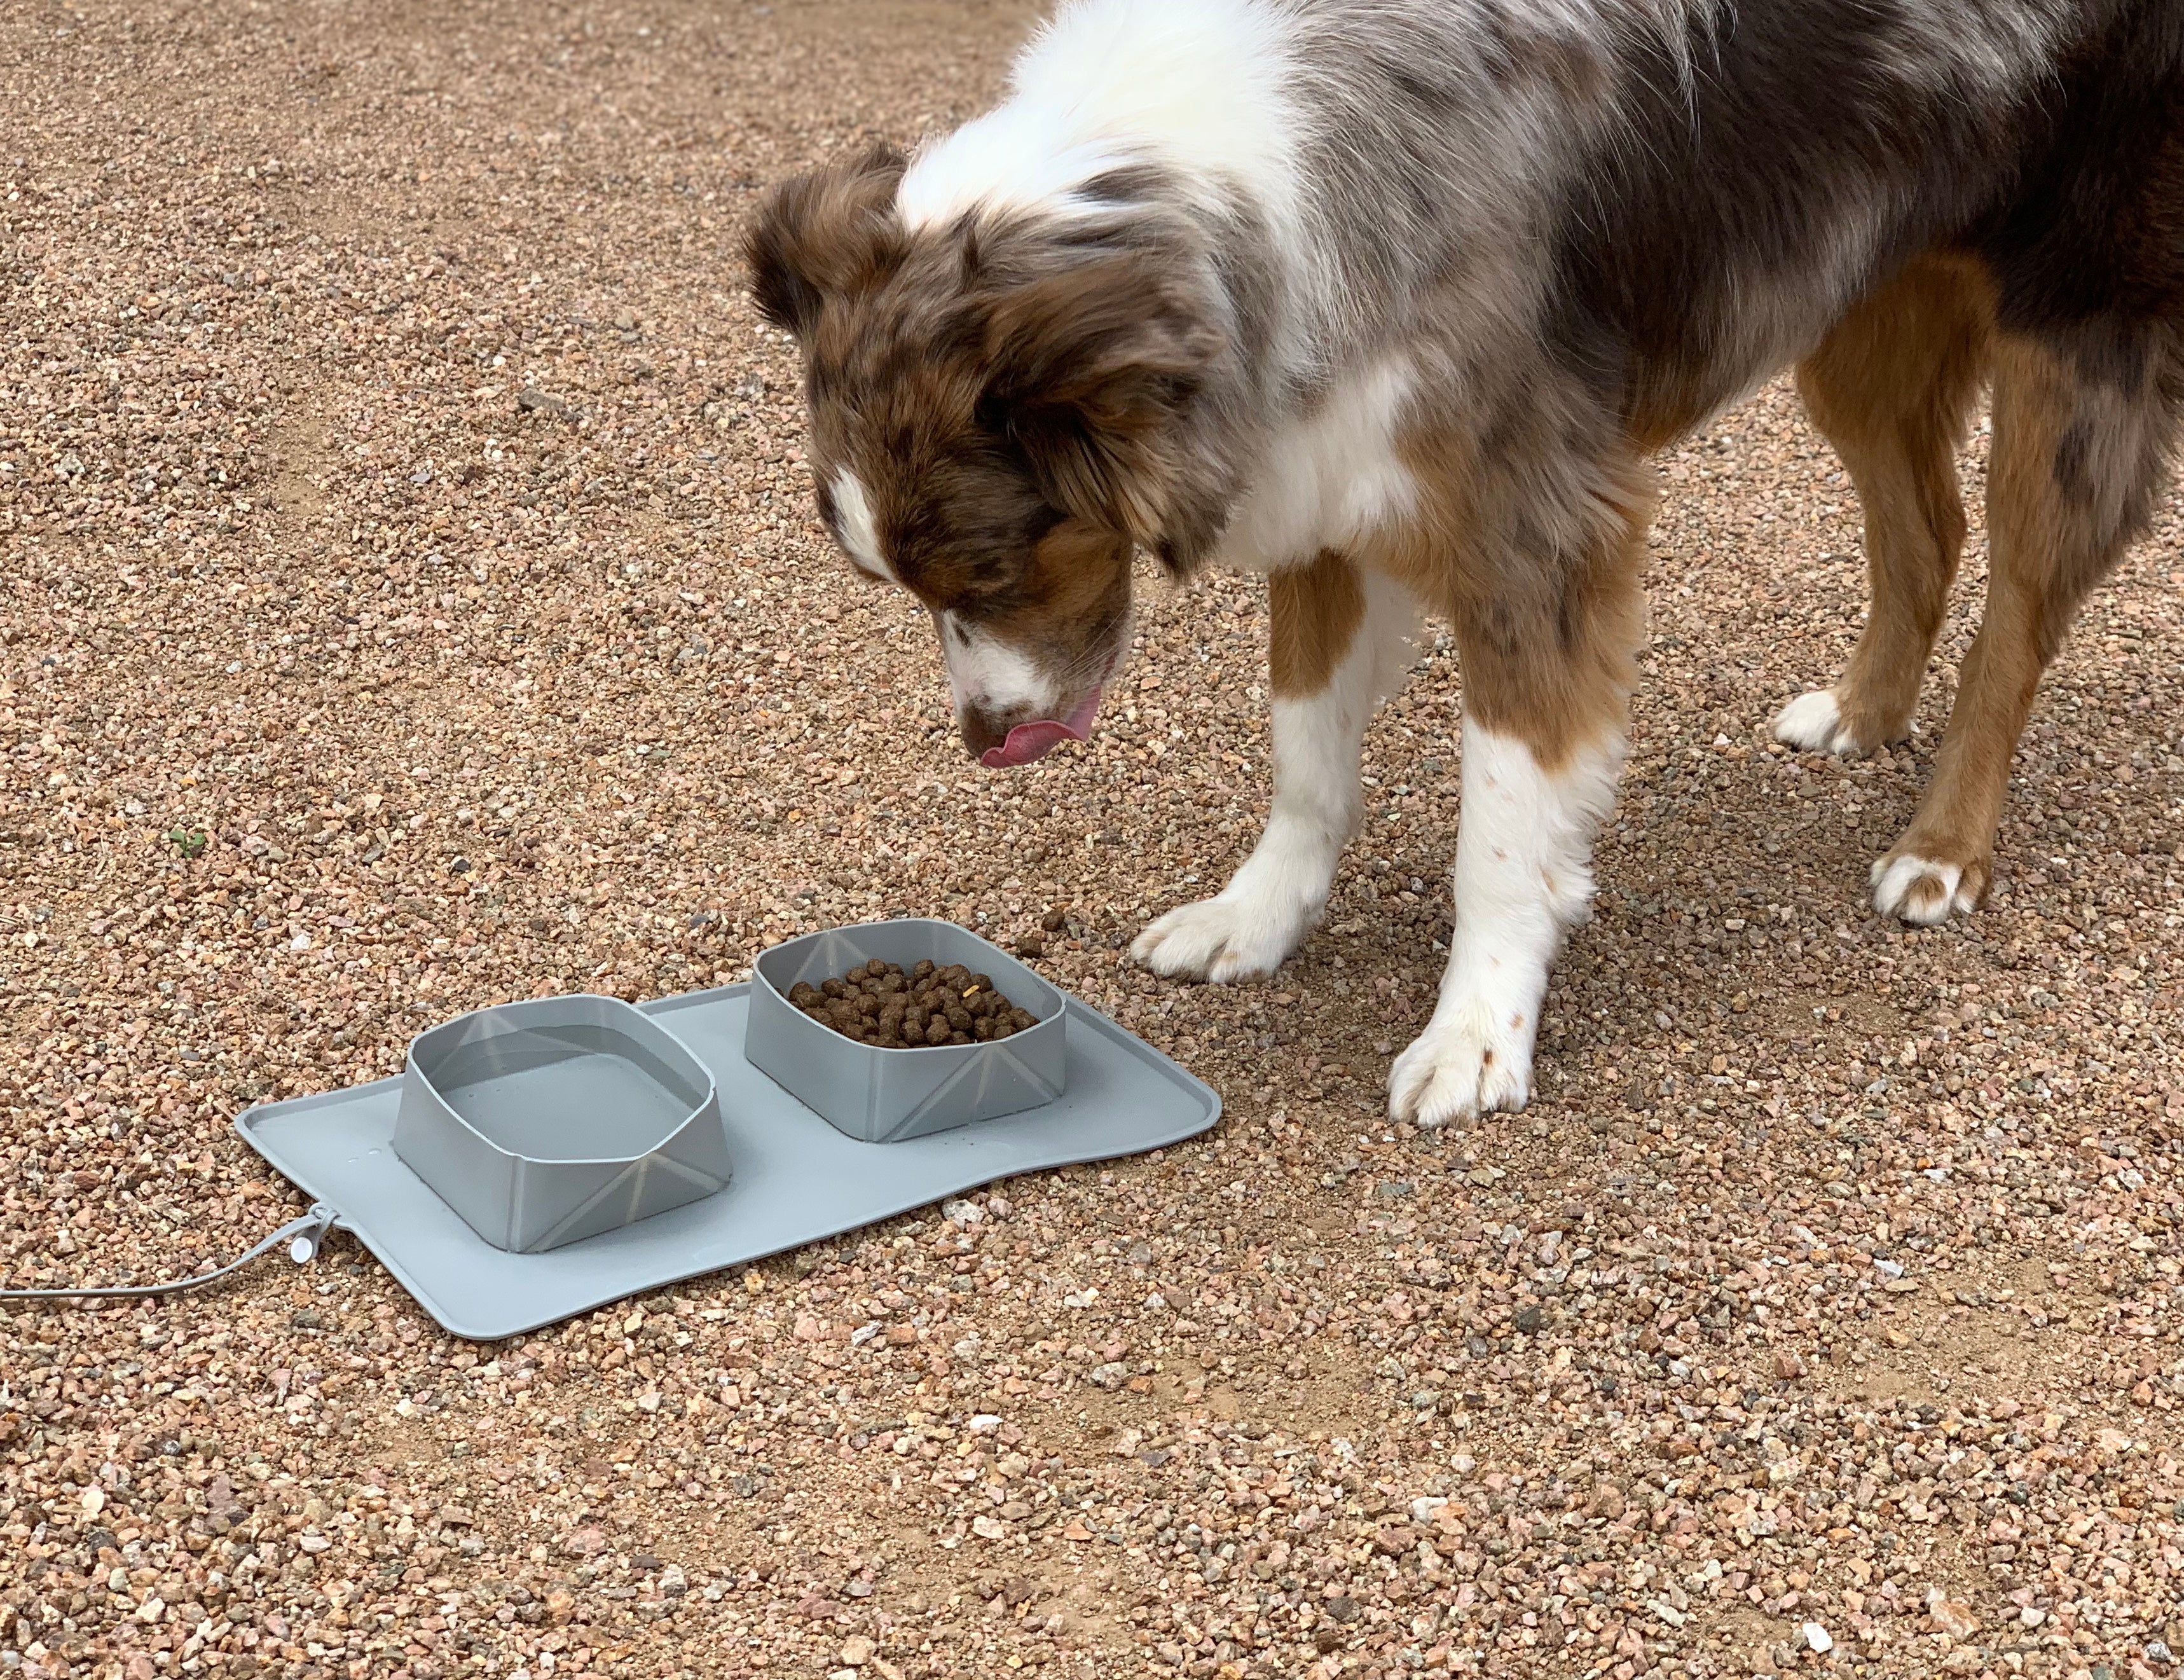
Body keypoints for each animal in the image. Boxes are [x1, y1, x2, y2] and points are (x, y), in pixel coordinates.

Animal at [746, 3, 2184, 1127]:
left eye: (991, 568)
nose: (987, 741)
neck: (1217, 183)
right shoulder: (1322, 467)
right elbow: (1305, 753)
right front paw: (1256, 916)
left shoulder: (1530, 525)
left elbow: (1498, 823)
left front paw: (1478, 1028)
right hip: (1858, 299)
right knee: (1923, 531)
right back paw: (1865, 711)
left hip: (2073, 332)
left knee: (2015, 608)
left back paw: (1942, 846)